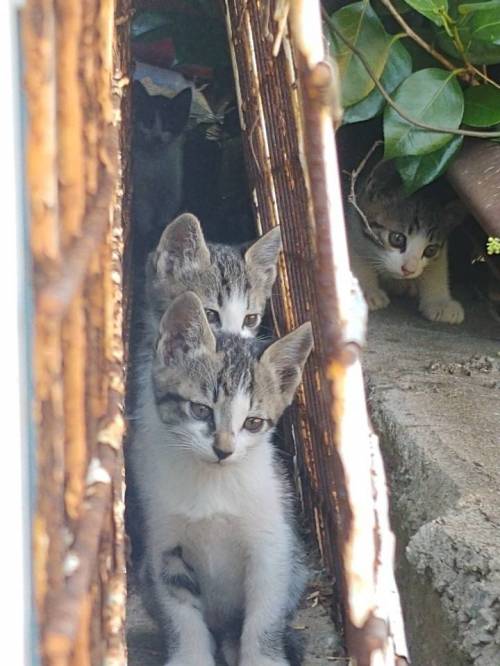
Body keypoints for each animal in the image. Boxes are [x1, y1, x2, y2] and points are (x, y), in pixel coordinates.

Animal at [131, 292, 314, 664]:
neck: (213, 484)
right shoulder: (165, 546)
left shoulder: (273, 545)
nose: (223, 450)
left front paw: (263, 658)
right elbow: (182, 617)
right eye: (200, 409)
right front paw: (189, 657)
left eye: (253, 422)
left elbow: (264, 617)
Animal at [132, 80, 192, 241]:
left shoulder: (172, 189)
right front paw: (147, 233)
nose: (156, 137)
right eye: (148, 122)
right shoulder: (140, 191)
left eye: (169, 123)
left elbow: (166, 214)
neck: (156, 160)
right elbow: (143, 214)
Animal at [348, 162, 464, 326]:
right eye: (397, 238)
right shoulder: (352, 219)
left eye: (430, 250)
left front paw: (440, 302)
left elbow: (437, 267)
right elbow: (356, 256)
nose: (409, 270)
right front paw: (367, 292)